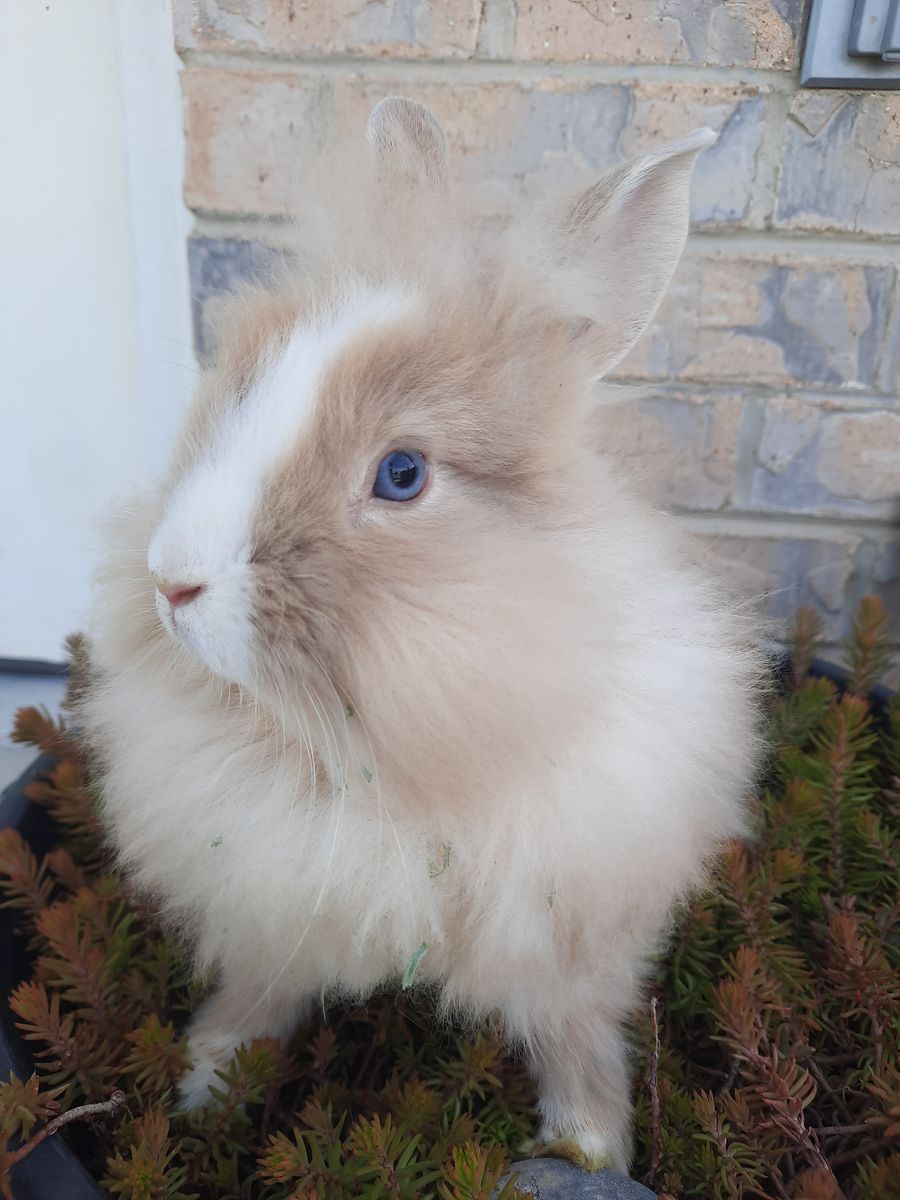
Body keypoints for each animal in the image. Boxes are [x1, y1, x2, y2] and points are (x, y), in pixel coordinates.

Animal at [79, 97, 761, 1173]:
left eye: (402, 476)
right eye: (239, 392)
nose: (172, 583)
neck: (391, 763)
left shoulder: (567, 934)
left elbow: (574, 1036)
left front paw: (588, 1149)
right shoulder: (269, 906)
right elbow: (256, 995)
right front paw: (203, 1091)